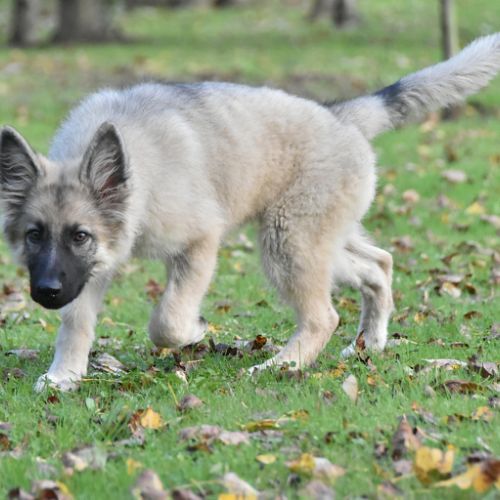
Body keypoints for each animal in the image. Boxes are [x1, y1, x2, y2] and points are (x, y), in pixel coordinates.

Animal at [1, 34, 499, 391]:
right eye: (33, 235)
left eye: (79, 235)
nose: (45, 293)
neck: (140, 167)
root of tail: (342, 116)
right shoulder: (91, 268)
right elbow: (76, 321)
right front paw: (65, 375)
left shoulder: (198, 244)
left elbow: (166, 320)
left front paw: (194, 330)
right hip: (318, 240)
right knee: (380, 264)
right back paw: (370, 344)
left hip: (289, 244)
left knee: (324, 316)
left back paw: (281, 365)